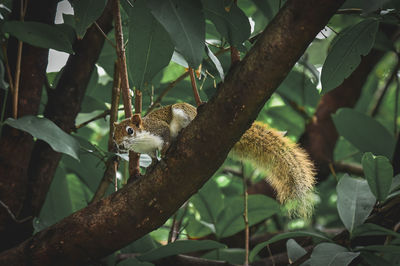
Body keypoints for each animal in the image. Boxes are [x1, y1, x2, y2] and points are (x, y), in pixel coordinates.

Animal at [112, 103, 316, 217]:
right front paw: (152, 165)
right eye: (114, 135)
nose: (119, 145)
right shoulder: (148, 149)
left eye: (130, 130)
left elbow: (165, 140)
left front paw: (164, 152)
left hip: (182, 111)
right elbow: (153, 155)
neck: (141, 141)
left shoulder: (159, 129)